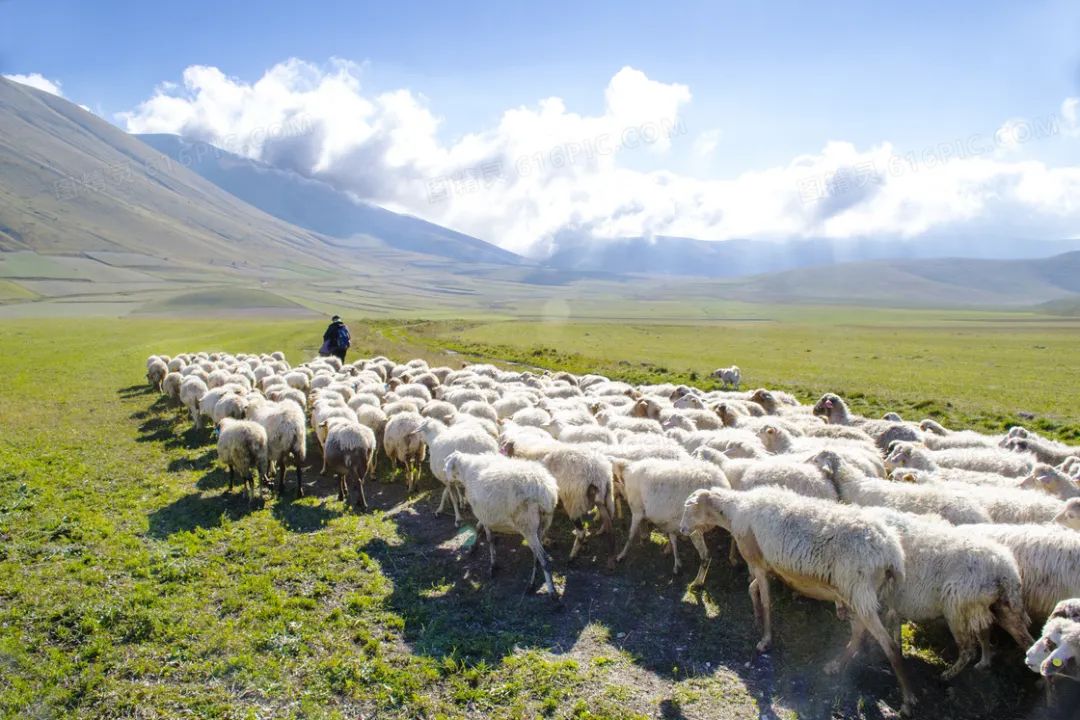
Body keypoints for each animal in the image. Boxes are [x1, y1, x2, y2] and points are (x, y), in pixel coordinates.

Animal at [442, 453, 561, 600]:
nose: (445, 478)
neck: (466, 471)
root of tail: (545, 492)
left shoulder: (484, 514)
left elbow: (489, 540)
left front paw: (493, 566)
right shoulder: (485, 514)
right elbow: (478, 528)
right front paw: (473, 548)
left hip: (527, 525)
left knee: (544, 558)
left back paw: (552, 591)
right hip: (542, 525)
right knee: (536, 557)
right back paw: (531, 585)